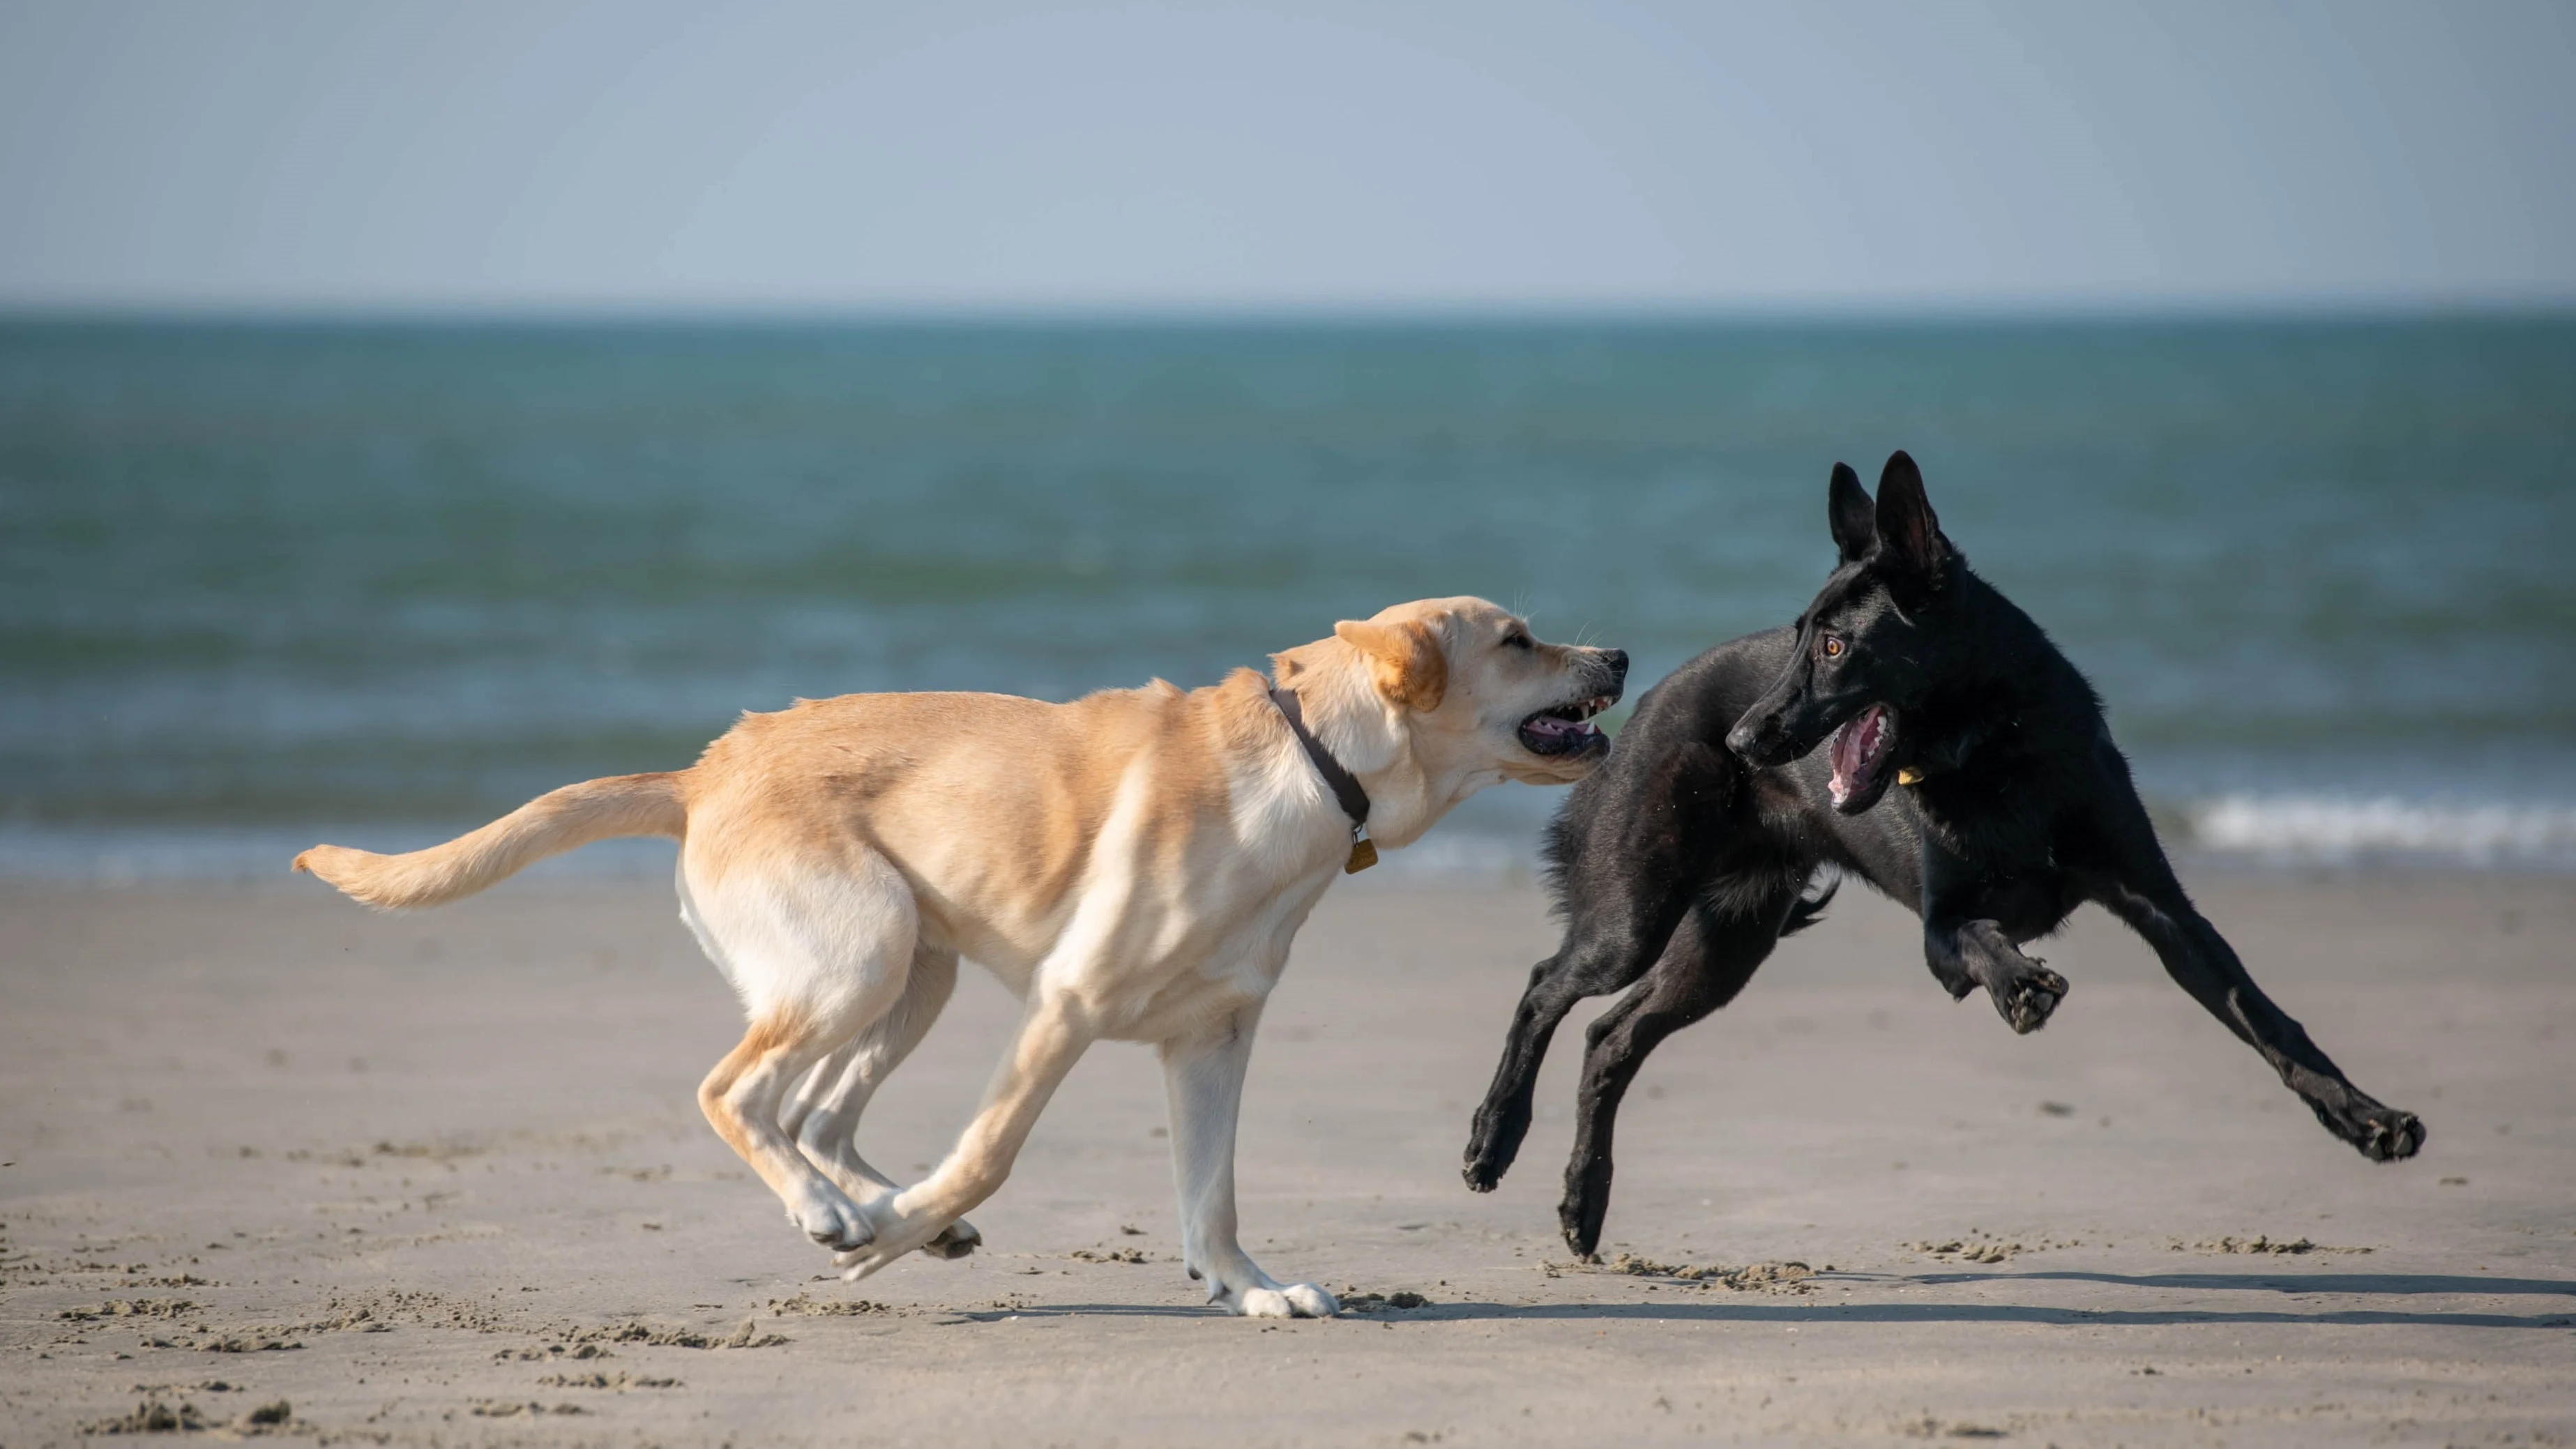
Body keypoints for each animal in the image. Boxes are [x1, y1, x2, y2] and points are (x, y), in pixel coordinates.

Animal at [1463, 453, 2421, 1261]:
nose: (1738, 742)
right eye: (1799, 635)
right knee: (1546, 986)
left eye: (1835, 644)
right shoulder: (1940, 929)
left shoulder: (2167, 914)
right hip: (1637, 915)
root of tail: (1641, 712)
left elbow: (2271, 1023)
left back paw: (1583, 1202)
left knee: (1609, 1036)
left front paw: (2367, 1119)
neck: (1993, 751)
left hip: (1724, 945)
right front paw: (2022, 982)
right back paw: (1492, 1138)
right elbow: (1982, 938)